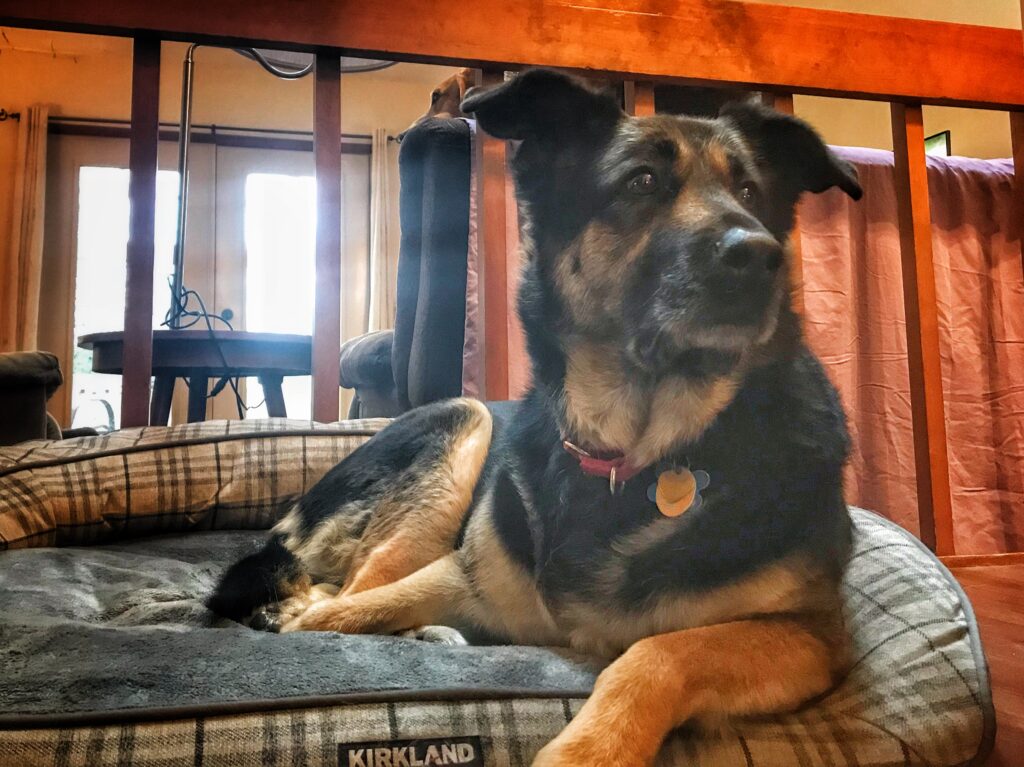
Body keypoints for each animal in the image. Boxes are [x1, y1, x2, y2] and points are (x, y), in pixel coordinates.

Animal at [214, 68, 864, 761]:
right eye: (641, 182)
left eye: (749, 191)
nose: (762, 256)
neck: (633, 457)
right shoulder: (461, 572)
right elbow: (335, 614)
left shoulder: (812, 635)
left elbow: (659, 651)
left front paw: (589, 749)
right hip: (465, 422)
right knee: (347, 585)